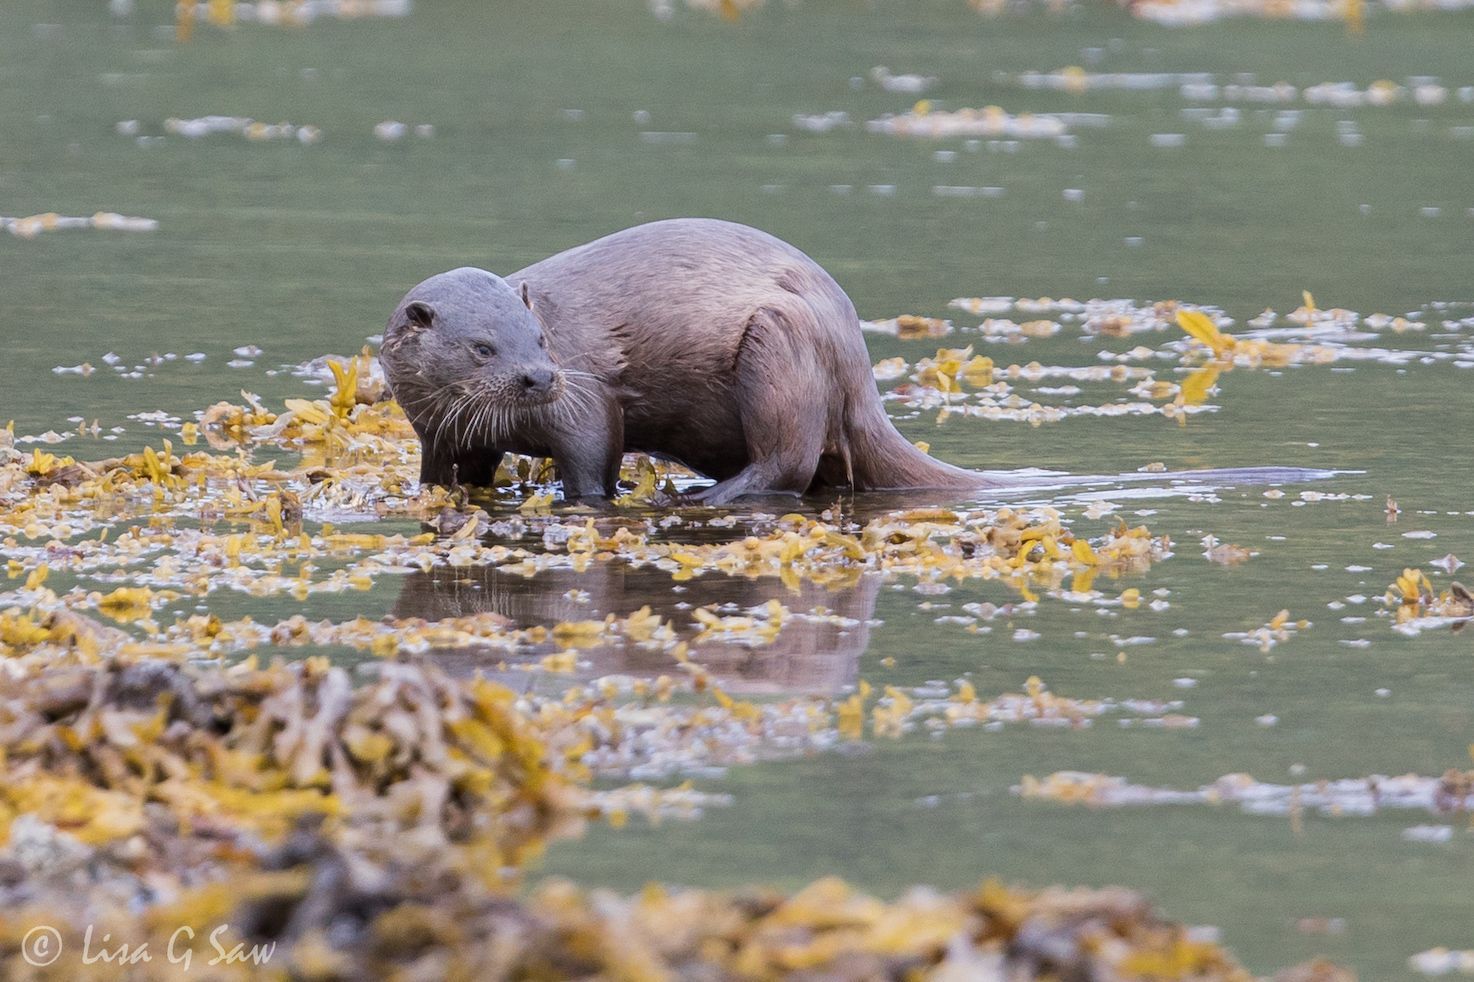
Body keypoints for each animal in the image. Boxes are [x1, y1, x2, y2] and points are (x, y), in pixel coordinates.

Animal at [380, 218, 1326, 501]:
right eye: (485, 345)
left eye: (541, 342)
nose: (538, 377)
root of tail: (857, 365)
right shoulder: (438, 432)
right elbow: (445, 474)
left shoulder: (587, 404)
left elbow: (591, 457)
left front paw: (579, 502)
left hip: (779, 346)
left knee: (790, 460)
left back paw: (706, 495)